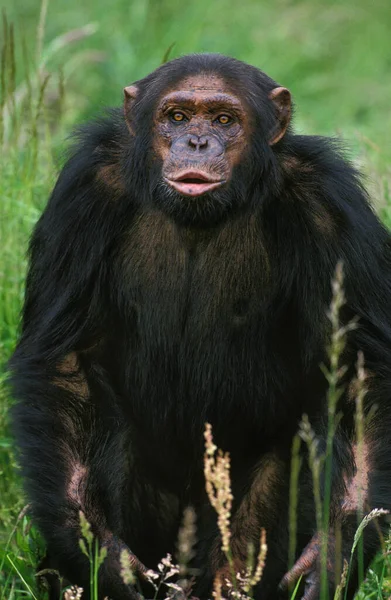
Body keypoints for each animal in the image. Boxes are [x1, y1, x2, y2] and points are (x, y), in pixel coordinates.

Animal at [9, 52, 391, 600]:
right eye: (178, 116)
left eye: (225, 120)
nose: (196, 142)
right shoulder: (83, 194)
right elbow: (68, 362)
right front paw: (98, 554)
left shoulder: (333, 208)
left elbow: (359, 369)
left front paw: (334, 554)